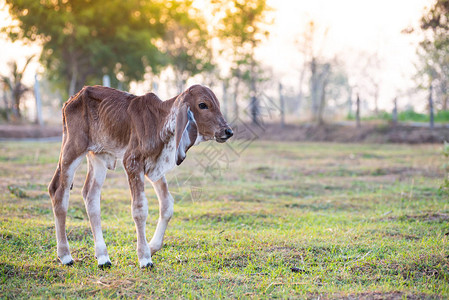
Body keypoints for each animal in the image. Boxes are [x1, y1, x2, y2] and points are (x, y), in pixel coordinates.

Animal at [47, 84, 233, 268]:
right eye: (203, 105)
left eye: (217, 103)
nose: (228, 131)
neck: (159, 121)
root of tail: (72, 99)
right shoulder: (132, 163)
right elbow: (139, 209)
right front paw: (144, 257)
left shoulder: (154, 167)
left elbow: (167, 205)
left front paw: (152, 248)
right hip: (73, 149)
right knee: (58, 191)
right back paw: (65, 255)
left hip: (98, 156)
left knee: (90, 196)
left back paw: (103, 257)